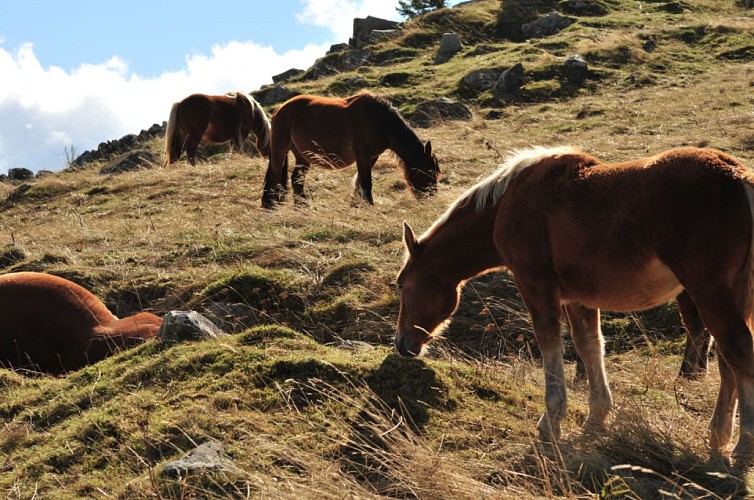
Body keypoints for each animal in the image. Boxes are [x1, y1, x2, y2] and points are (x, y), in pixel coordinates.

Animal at [260, 93, 438, 208]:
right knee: (276, 176)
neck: (380, 121)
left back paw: (302, 207)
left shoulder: (371, 157)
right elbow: (366, 181)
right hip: (280, 150)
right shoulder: (362, 154)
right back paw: (272, 205)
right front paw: (369, 205)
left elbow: (360, 181)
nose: (431, 198)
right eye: (429, 172)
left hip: (302, 156)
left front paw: (356, 204)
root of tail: (280, 109)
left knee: (297, 179)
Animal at [394, 146, 752, 458]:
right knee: (727, 363)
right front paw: (597, 416)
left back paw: (742, 445)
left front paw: (550, 421)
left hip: (709, 294)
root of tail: (739, 178)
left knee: (738, 353)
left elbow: (550, 346)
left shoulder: (537, 287)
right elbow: (589, 346)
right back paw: (718, 435)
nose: (401, 344)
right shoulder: (578, 298)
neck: (507, 205)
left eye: (401, 285)